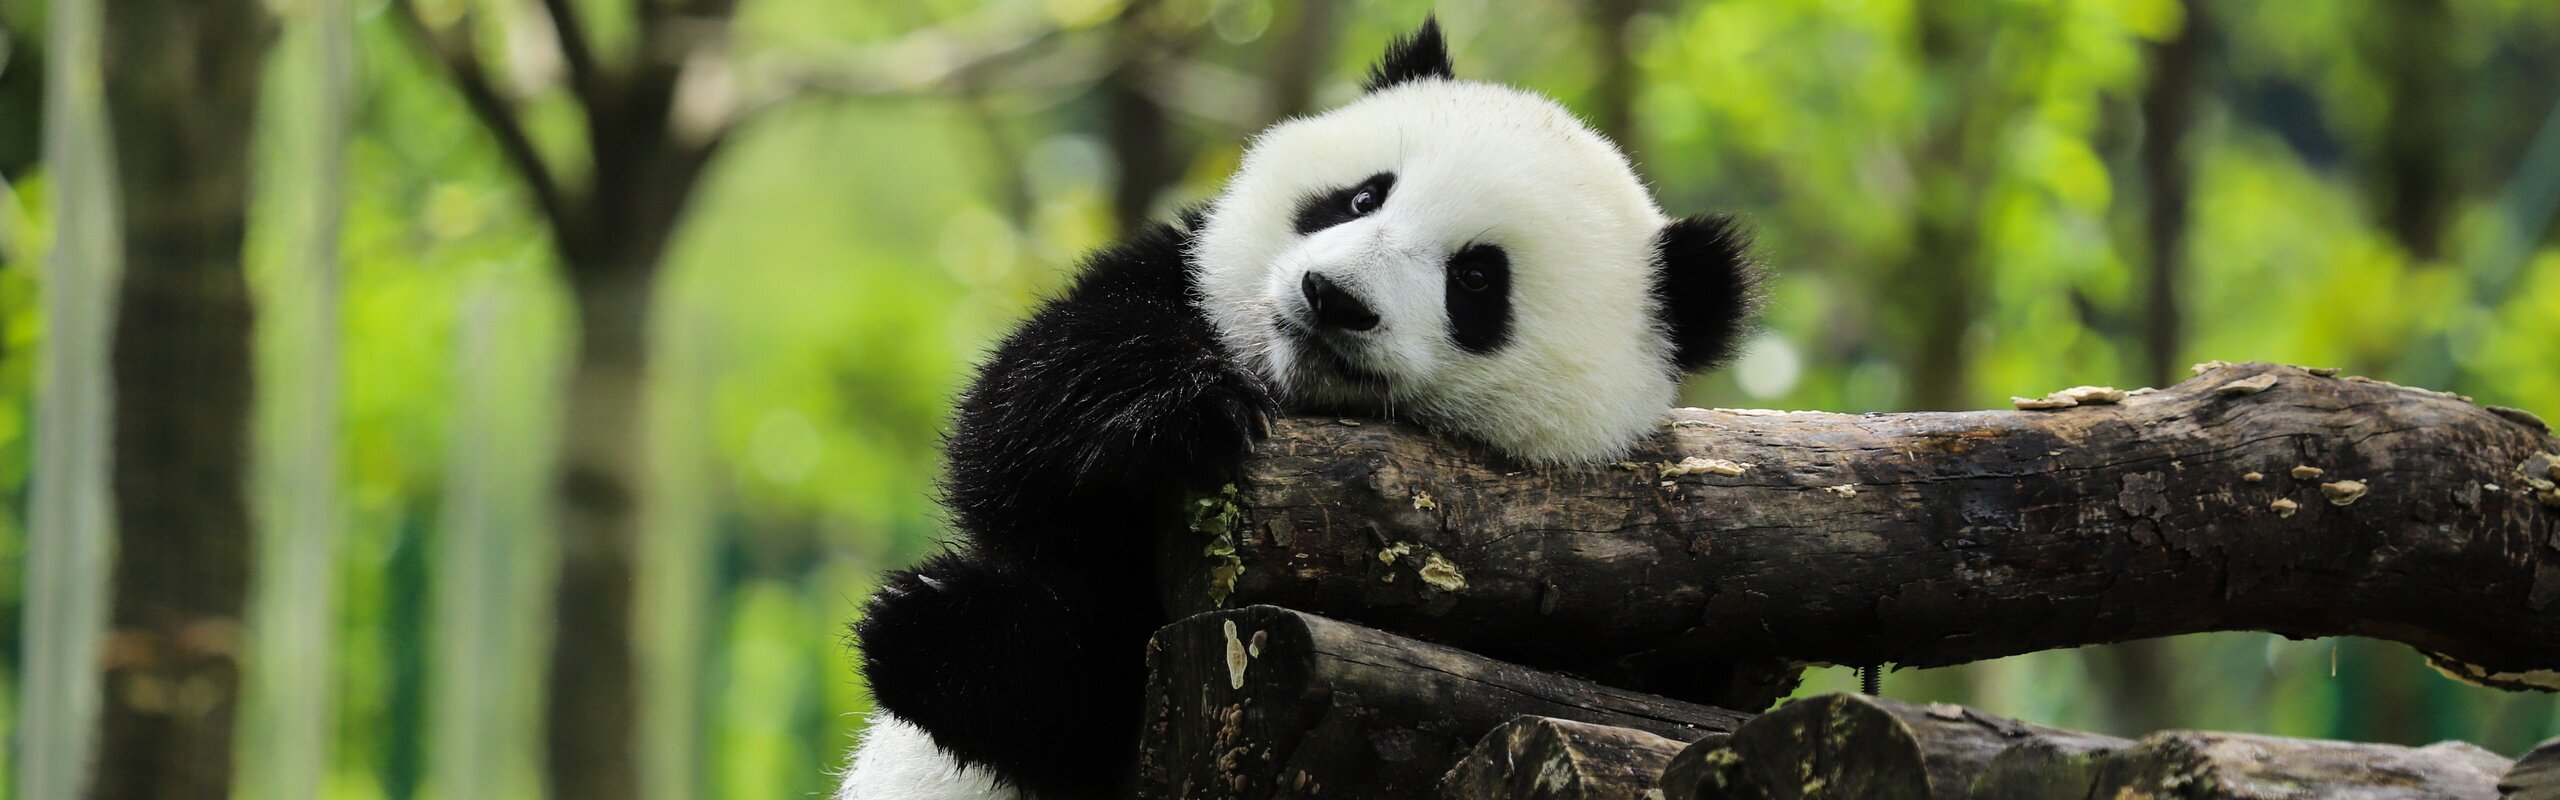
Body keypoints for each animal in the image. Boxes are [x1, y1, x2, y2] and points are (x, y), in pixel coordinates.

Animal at [840, 18, 1760, 800]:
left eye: (1475, 278)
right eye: (1361, 198)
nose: (1333, 297)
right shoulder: (1179, 282)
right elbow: (1019, 423)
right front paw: (1180, 414)